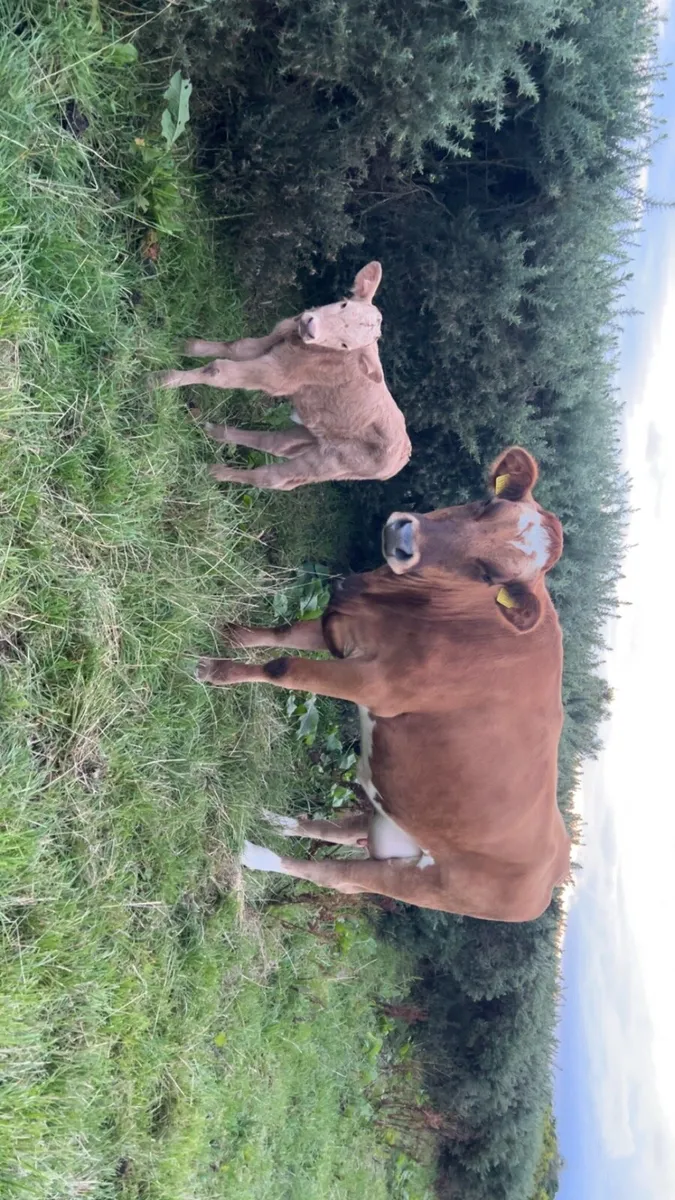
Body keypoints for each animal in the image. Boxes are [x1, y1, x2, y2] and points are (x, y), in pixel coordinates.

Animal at [150, 262, 411, 490]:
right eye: (344, 305)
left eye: (345, 345)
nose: (310, 326)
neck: (299, 343)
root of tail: (403, 454)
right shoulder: (270, 342)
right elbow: (234, 347)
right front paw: (183, 346)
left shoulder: (276, 375)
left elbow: (219, 370)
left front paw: (161, 380)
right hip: (310, 432)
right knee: (277, 444)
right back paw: (216, 432)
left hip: (331, 462)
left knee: (276, 479)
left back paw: (214, 472)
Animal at [195, 446, 570, 921]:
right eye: (487, 505)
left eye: (489, 575)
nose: (404, 537)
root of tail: (553, 875)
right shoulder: (345, 629)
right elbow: (281, 634)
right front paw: (234, 636)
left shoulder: (373, 684)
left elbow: (283, 667)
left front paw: (214, 670)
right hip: (389, 819)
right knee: (340, 828)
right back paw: (274, 820)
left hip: (425, 884)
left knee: (336, 876)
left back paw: (254, 853)